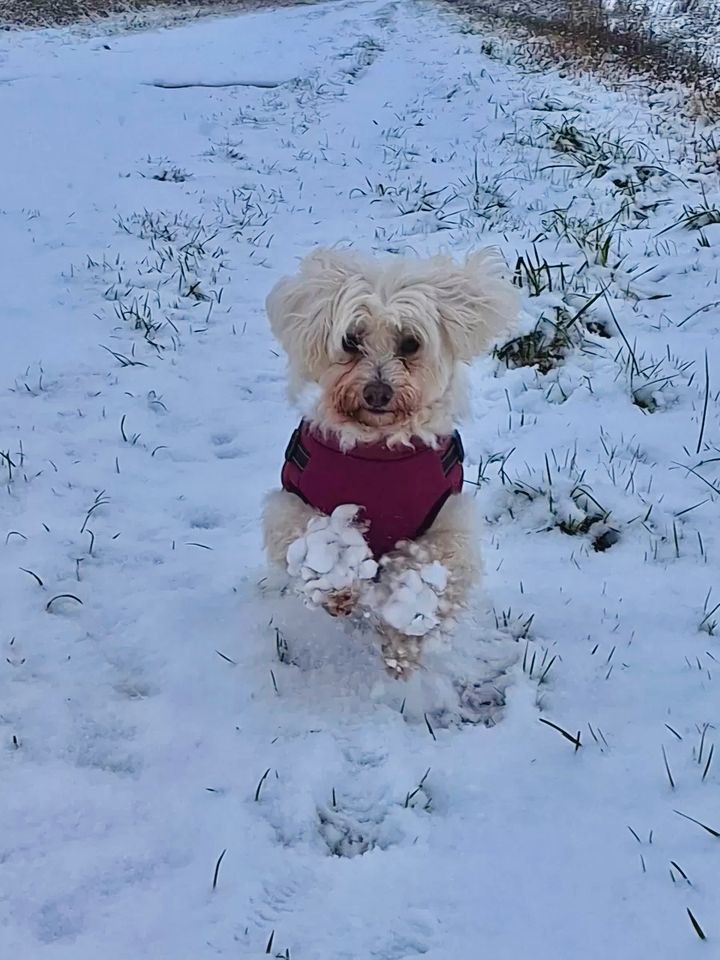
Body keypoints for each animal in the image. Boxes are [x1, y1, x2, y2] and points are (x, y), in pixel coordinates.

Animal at [264, 251, 516, 680]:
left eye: (410, 343)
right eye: (350, 340)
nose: (377, 392)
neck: (378, 451)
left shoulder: (450, 521)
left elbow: (433, 566)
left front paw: (408, 615)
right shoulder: (290, 501)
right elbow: (311, 533)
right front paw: (337, 575)